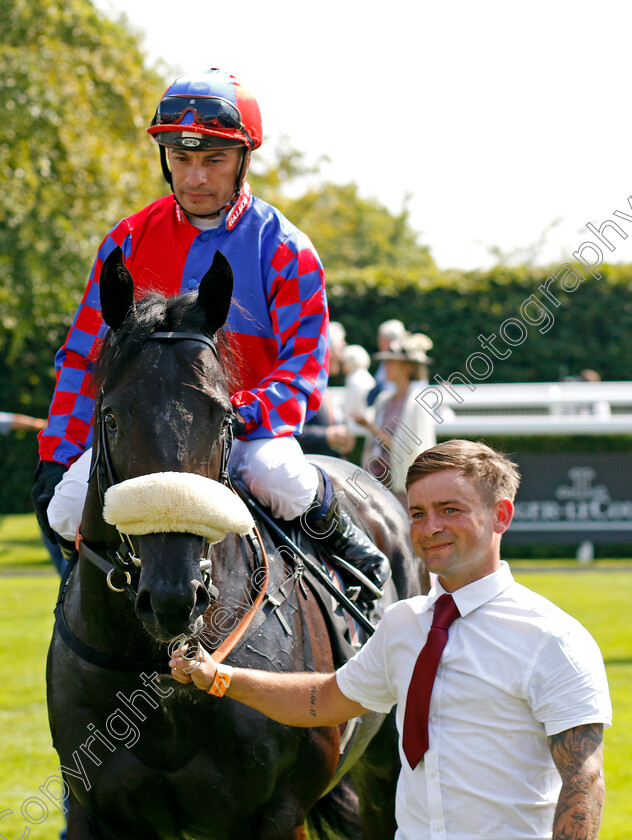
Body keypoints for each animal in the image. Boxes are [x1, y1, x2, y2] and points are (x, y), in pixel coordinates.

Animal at [47, 249, 428, 840]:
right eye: (110, 416)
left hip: (386, 766)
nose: (175, 597)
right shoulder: (94, 813)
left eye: (224, 416)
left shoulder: (278, 813)